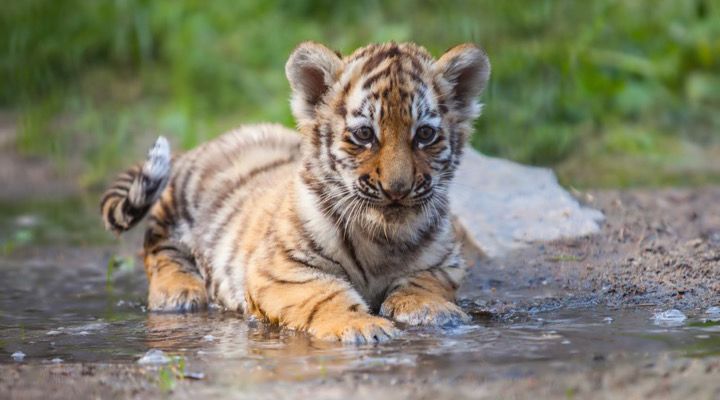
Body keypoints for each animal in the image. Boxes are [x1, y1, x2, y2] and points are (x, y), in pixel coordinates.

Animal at [100, 41, 490, 343]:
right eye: (364, 134)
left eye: (425, 134)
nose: (397, 189)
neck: (383, 236)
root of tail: (209, 142)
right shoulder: (282, 269)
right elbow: (325, 295)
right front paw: (363, 326)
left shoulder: (445, 262)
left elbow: (423, 282)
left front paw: (433, 311)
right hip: (176, 207)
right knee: (158, 247)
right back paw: (178, 292)